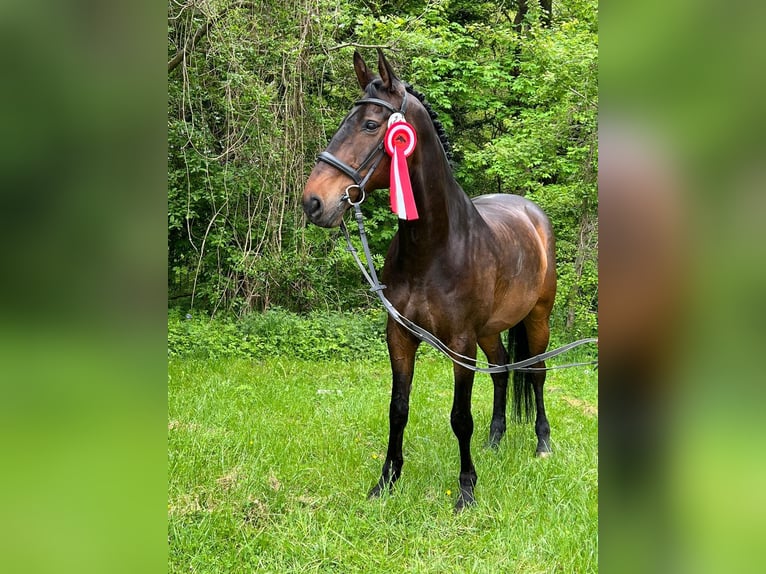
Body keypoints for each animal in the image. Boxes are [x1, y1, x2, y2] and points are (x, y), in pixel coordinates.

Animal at [302, 47, 560, 510]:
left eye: (371, 125)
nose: (313, 202)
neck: (434, 248)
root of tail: (532, 213)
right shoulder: (400, 335)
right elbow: (397, 409)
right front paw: (386, 481)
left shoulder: (460, 343)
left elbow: (460, 417)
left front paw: (467, 490)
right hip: (490, 330)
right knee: (501, 369)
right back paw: (495, 440)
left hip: (538, 317)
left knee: (536, 372)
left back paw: (542, 444)